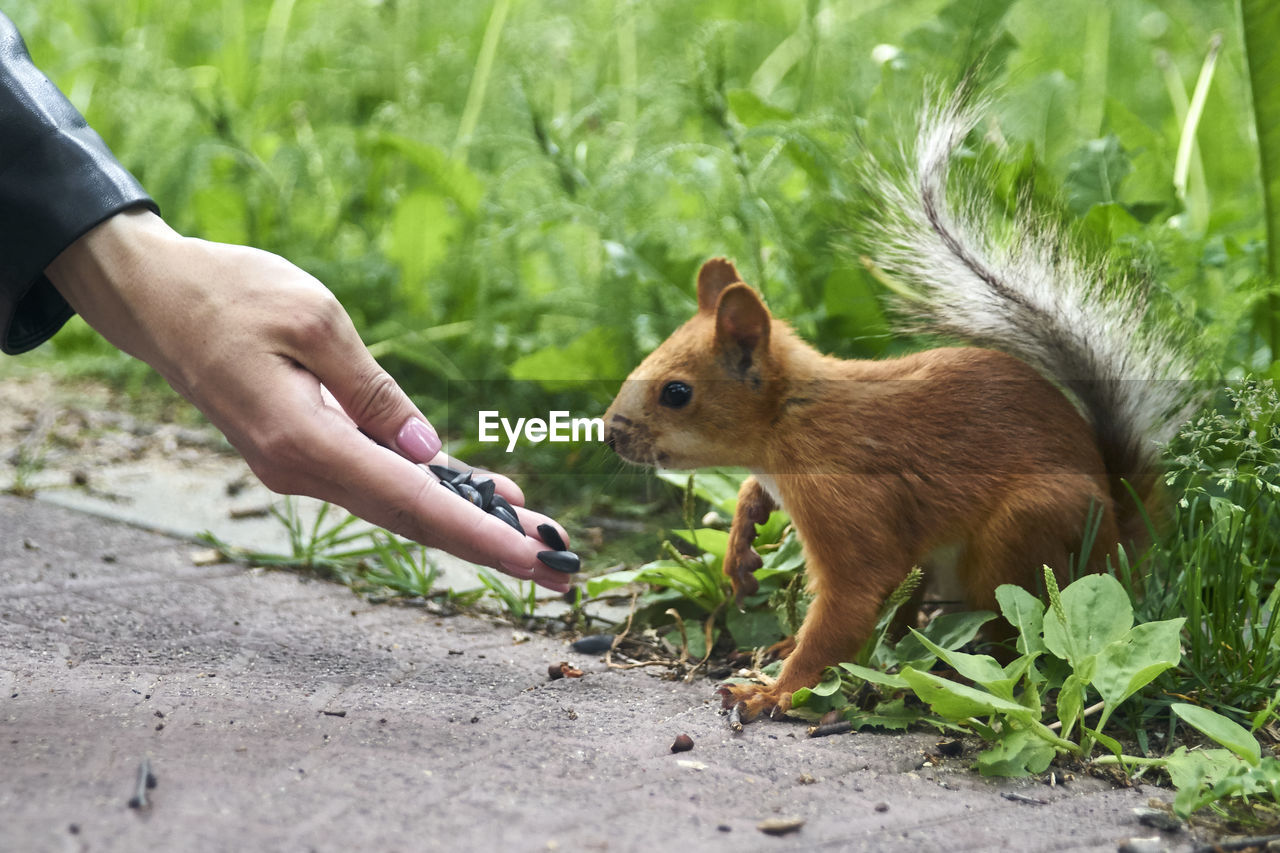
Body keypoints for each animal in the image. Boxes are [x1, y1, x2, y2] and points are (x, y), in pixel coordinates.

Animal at [599, 96, 1187, 722]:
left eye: (676, 392)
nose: (611, 433)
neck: (789, 422)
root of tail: (1120, 543)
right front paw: (742, 539)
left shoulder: (847, 496)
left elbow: (852, 598)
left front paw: (775, 693)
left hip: (1023, 533)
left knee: (1010, 629)